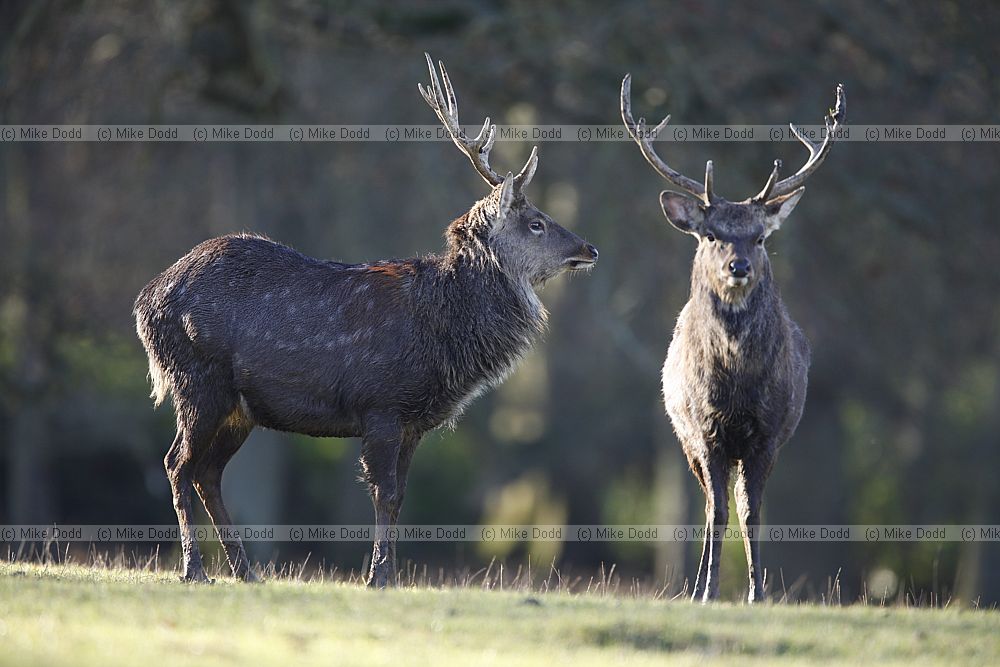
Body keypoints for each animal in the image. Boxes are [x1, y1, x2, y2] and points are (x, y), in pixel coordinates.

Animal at [134, 54, 598, 588]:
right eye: (536, 223)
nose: (589, 249)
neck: (443, 336)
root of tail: (145, 302)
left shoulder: (414, 421)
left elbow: (400, 499)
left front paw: (389, 573)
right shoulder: (381, 405)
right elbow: (385, 493)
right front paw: (378, 575)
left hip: (238, 406)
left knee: (208, 472)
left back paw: (245, 571)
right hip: (196, 380)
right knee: (177, 464)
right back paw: (194, 569)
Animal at [621, 75, 845, 603]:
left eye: (760, 238)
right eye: (710, 234)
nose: (737, 267)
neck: (738, 386)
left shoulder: (769, 434)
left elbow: (751, 513)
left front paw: (756, 592)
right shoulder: (705, 432)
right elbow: (719, 512)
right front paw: (708, 591)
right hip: (685, 440)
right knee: (707, 504)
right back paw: (697, 585)